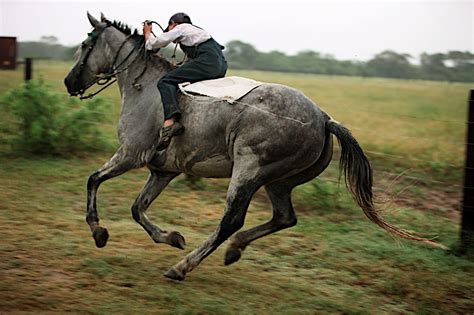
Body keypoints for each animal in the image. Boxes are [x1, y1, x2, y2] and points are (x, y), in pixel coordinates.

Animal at [64, 13, 444, 282]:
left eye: (84, 46)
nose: (69, 83)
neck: (144, 86)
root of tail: (324, 118)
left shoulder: (131, 155)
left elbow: (93, 180)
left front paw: (99, 231)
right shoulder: (163, 170)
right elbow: (137, 208)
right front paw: (171, 237)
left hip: (248, 170)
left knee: (231, 220)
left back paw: (183, 267)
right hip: (278, 181)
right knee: (284, 217)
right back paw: (233, 251)